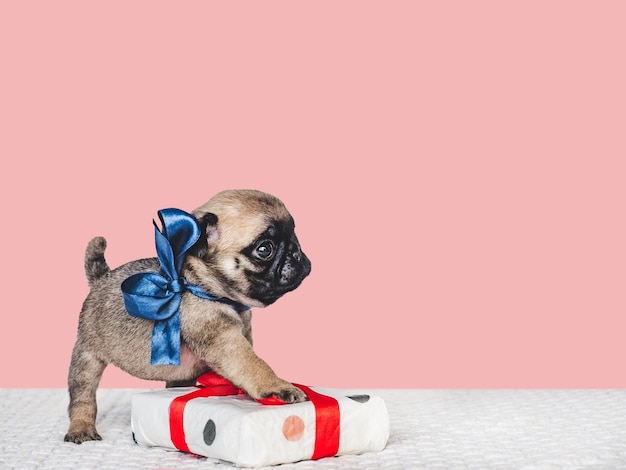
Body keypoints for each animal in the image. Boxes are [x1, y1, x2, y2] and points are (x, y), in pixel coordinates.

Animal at [63, 189, 312, 442]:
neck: (202, 285)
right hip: (87, 357)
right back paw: (81, 428)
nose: (296, 252)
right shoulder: (225, 341)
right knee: (82, 397)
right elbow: (253, 364)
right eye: (264, 249)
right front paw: (277, 386)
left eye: (294, 235)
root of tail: (100, 278)